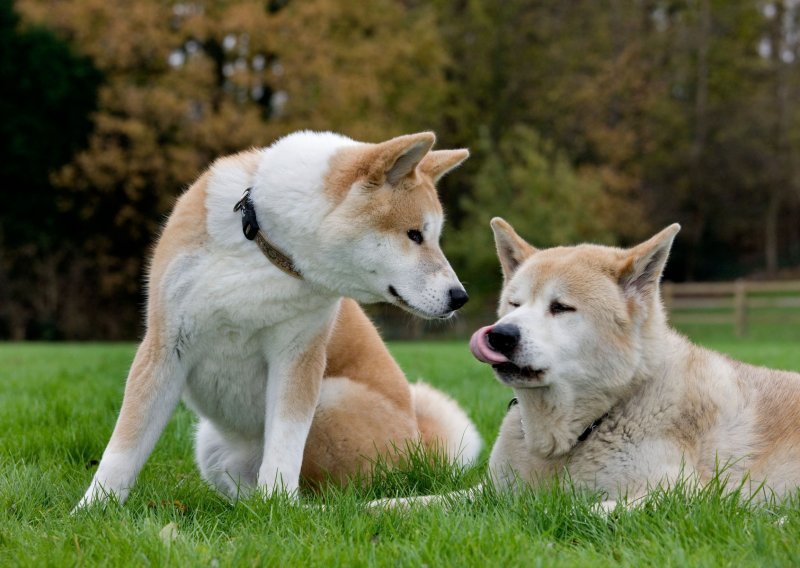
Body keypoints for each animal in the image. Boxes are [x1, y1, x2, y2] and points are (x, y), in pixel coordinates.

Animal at [76, 131, 482, 508]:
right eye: (414, 235)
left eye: (434, 237)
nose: (459, 296)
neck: (264, 246)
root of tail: (421, 447)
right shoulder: (165, 344)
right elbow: (123, 449)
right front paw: (92, 509)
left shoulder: (298, 356)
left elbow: (284, 447)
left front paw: (277, 507)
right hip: (211, 442)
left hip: (330, 397)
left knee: (324, 494)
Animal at [472, 219, 800, 506]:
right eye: (514, 304)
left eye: (560, 307)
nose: (500, 335)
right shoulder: (490, 488)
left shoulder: (687, 494)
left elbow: (582, 509)